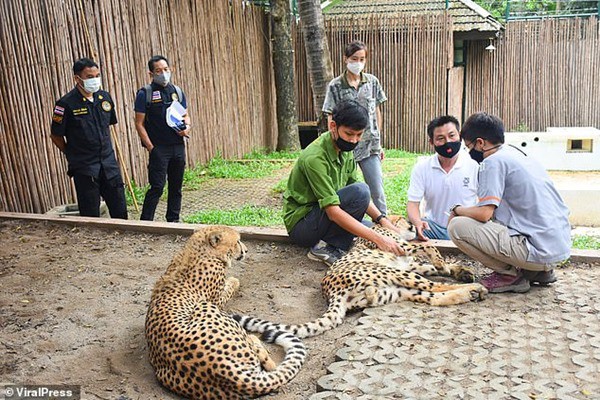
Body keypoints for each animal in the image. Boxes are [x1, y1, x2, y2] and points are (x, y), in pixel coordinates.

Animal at [144, 227, 304, 398]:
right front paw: (234, 280)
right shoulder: (217, 301)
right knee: (260, 351)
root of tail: (234, 376)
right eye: (237, 241)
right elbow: (231, 286)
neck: (197, 249)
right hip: (206, 307)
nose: (246, 250)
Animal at [234, 217, 488, 340]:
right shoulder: (402, 250)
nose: (414, 225)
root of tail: (329, 291)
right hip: (394, 274)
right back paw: (474, 288)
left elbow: (433, 264)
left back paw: (469, 291)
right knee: (435, 288)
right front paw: (443, 263)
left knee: (432, 296)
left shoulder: (411, 262)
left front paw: (458, 269)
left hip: (395, 289)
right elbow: (428, 247)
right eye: (404, 219)